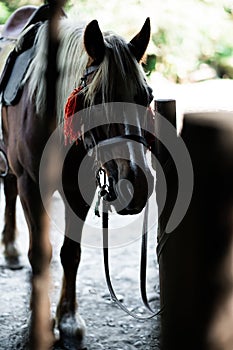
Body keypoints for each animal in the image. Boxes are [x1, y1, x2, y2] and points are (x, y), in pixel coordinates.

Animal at [0, 8, 155, 350]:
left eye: (147, 97)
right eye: (96, 99)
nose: (136, 184)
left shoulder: (77, 188)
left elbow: (70, 254)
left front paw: (68, 321)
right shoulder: (32, 185)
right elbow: (40, 255)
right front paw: (38, 324)